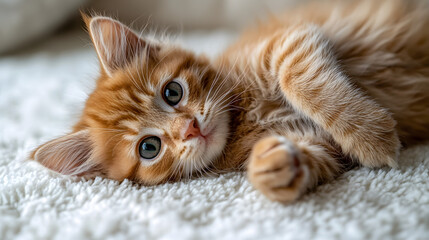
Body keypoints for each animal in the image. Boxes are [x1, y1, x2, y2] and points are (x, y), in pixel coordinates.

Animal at [30, 0, 428, 202]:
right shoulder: (319, 143)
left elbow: (298, 80)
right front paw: (271, 167)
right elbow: (309, 157)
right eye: (149, 148)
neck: (245, 120)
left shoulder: (291, 41)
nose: (190, 128)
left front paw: (370, 136)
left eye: (172, 92)